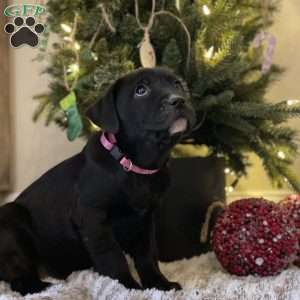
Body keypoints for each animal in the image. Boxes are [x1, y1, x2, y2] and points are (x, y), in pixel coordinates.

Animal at [0, 68, 196, 296]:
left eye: (177, 84)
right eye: (141, 90)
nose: (179, 100)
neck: (134, 166)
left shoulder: (145, 220)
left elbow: (147, 256)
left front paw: (159, 284)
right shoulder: (94, 219)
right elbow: (112, 257)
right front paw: (127, 287)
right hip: (11, 218)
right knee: (19, 278)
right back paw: (43, 287)